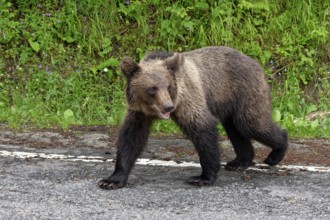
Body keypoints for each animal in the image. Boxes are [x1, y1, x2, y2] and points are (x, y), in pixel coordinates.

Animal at [97, 46, 286, 189]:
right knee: (235, 128)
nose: (168, 107)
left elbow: (202, 129)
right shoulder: (138, 112)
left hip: (244, 92)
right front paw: (111, 180)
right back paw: (239, 162)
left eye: (168, 86)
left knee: (251, 123)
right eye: (152, 88)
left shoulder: (187, 98)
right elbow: (131, 138)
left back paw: (275, 153)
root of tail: (256, 63)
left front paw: (202, 177)